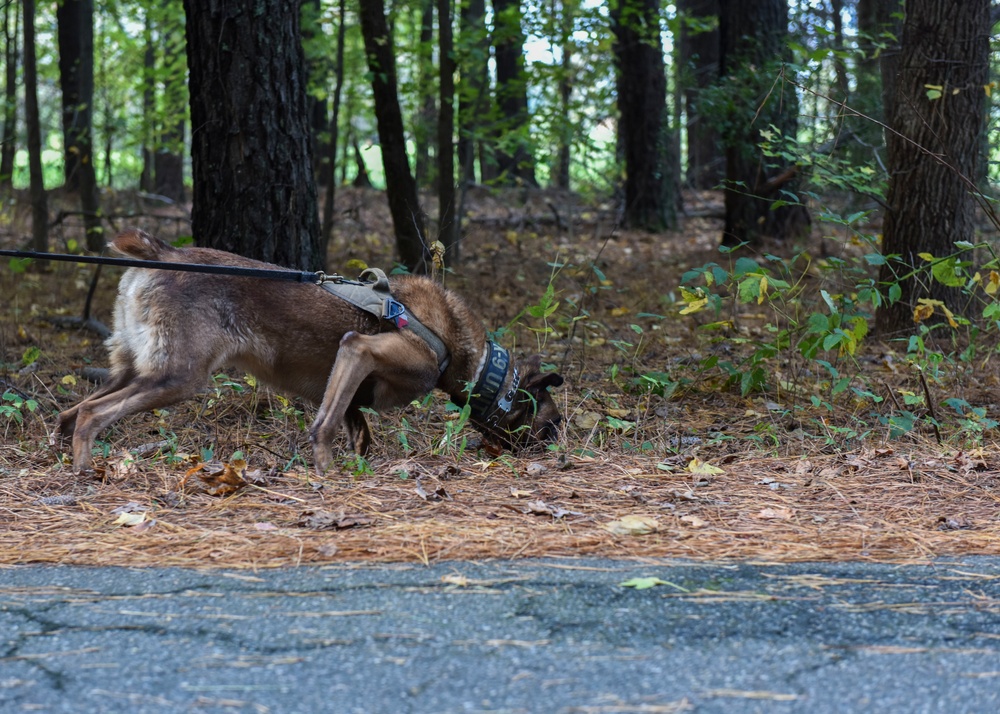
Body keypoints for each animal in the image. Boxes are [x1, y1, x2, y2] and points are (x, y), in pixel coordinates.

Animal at [56, 229, 564, 472]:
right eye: (551, 423)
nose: (558, 451)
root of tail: (160, 252)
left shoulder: (351, 387)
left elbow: (357, 432)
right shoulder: (359, 350)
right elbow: (324, 426)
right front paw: (328, 474)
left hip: (132, 368)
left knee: (70, 412)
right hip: (177, 377)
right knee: (91, 415)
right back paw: (86, 473)